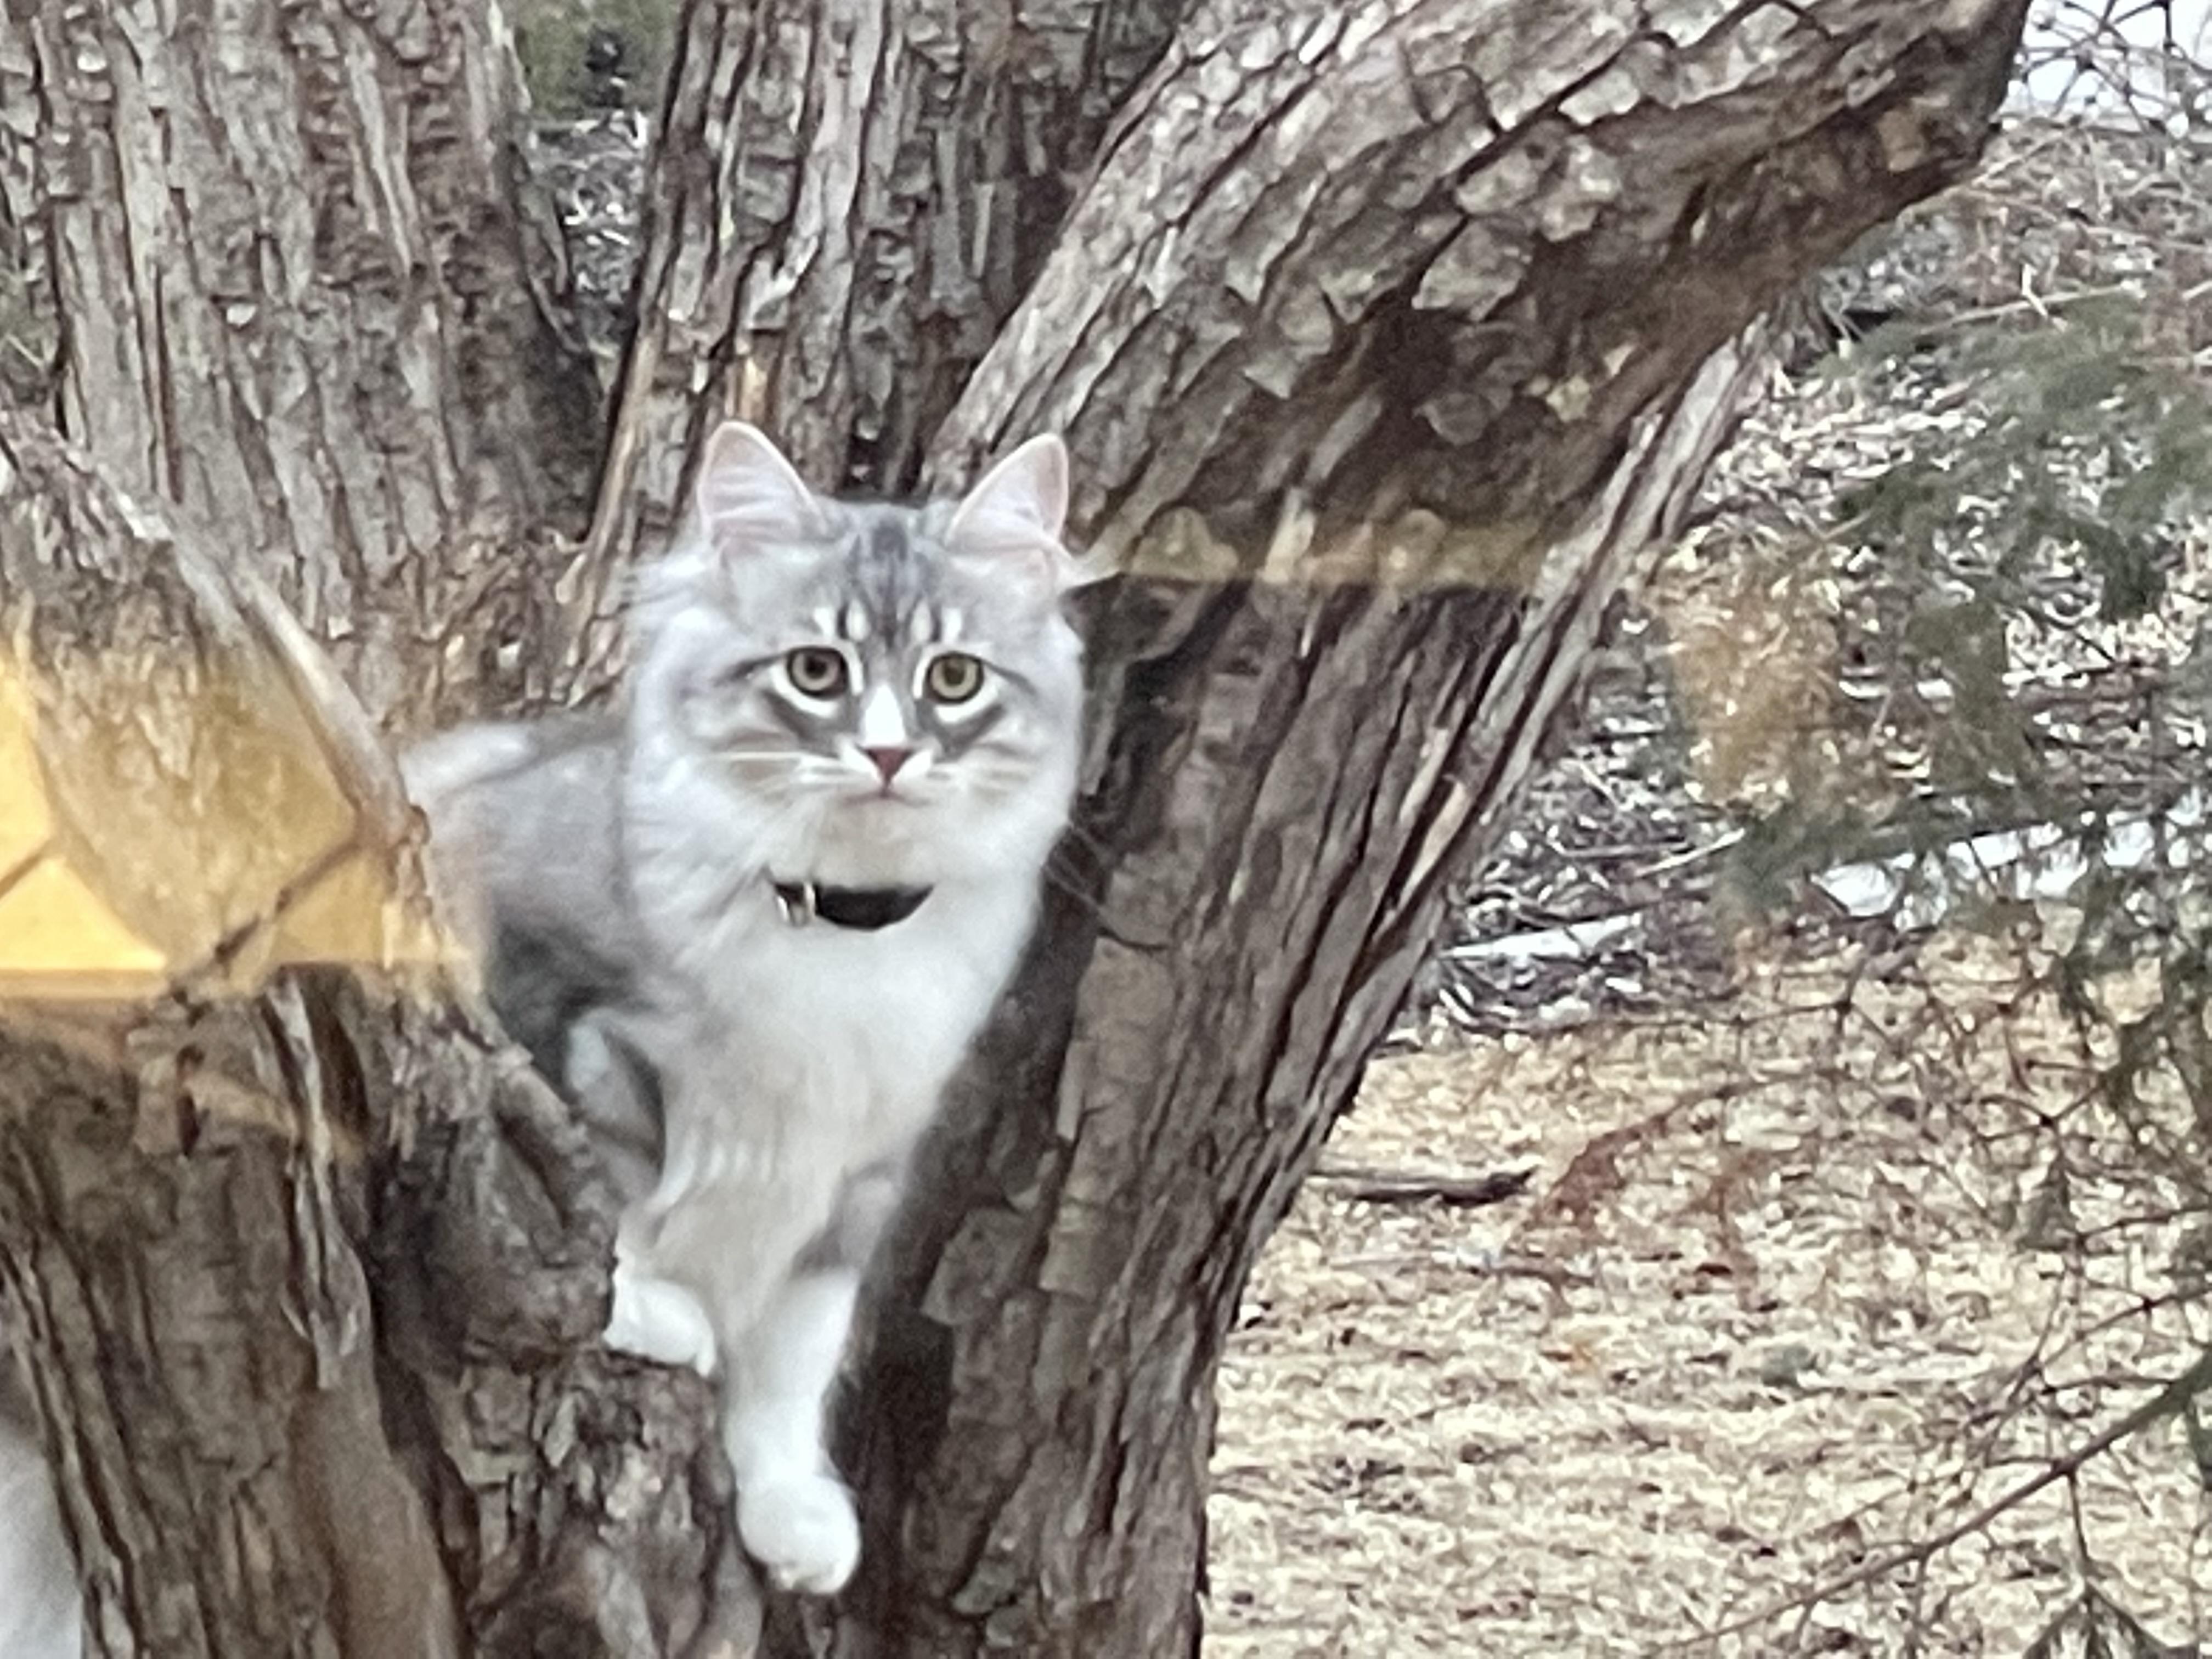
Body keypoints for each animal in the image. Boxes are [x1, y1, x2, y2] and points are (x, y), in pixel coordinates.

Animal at [402, 425, 1092, 1601]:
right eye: (816, 670)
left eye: (953, 678)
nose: (889, 755)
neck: (838, 935)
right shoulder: (555, 1000)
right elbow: (610, 1185)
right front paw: (648, 1305)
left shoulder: (862, 1164)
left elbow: (790, 1363)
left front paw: (788, 1505)